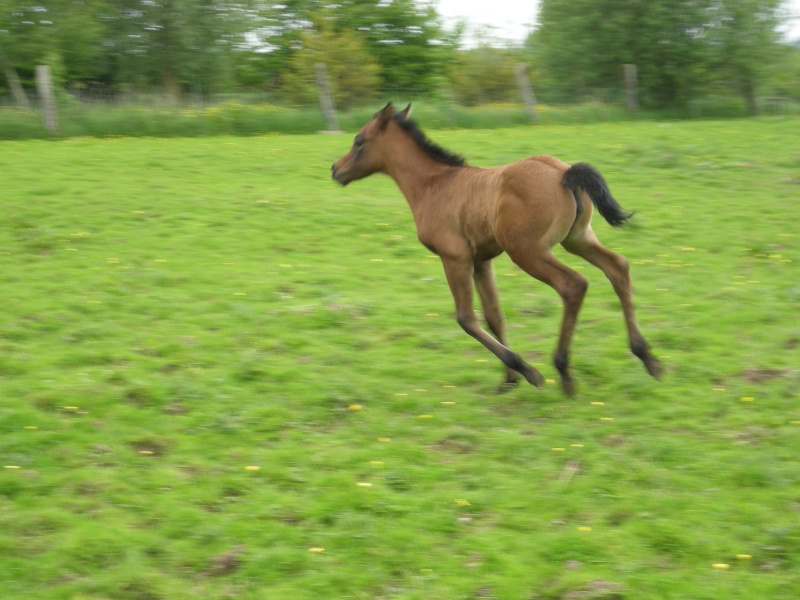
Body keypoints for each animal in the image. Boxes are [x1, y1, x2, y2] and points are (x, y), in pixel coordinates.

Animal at [332, 103, 664, 394]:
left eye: (359, 141)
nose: (336, 169)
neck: (435, 185)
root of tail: (563, 174)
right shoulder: (482, 260)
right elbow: (493, 315)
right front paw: (509, 380)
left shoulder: (455, 257)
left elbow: (466, 318)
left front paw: (526, 370)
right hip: (577, 239)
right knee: (617, 267)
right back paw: (647, 357)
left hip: (528, 252)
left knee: (574, 284)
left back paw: (564, 371)